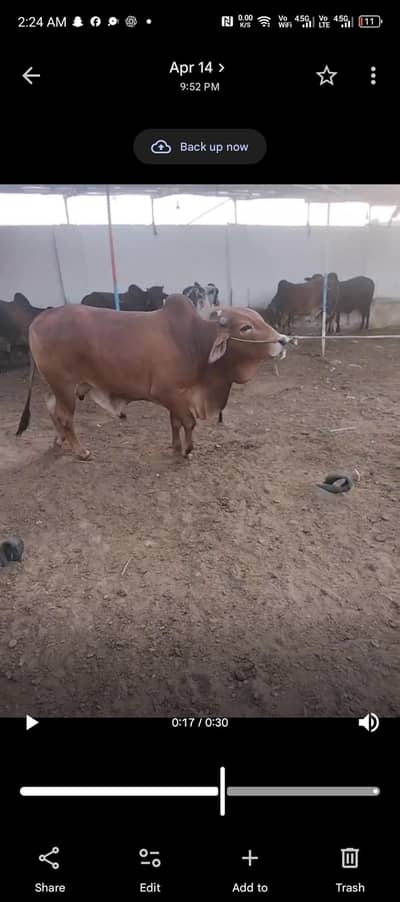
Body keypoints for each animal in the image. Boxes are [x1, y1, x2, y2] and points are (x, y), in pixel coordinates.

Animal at [16, 295, 291, 461]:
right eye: (245, 327)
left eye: (260, 319)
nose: (284, 340)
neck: (194, 342)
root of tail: (37, 320)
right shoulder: (167, 393)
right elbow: (189, 422)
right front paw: (187, 450)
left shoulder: (178, 396)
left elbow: (176, 423)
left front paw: (176, 447)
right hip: (64, 385)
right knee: (64, 416)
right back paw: (81, 451)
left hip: (59, 387)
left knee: (51, 407)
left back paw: (59, 440)